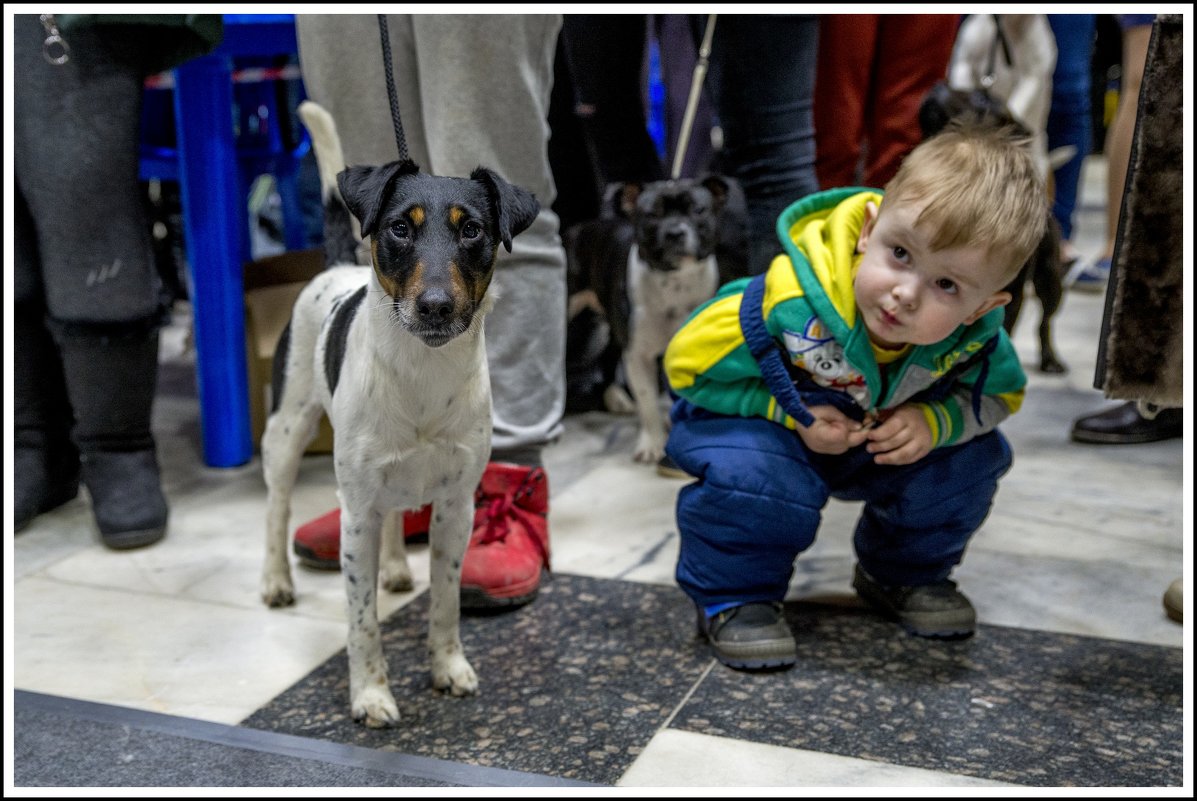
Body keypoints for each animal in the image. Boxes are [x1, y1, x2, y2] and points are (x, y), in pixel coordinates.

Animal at [264, 99, 541, 723]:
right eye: (399, 228)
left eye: (472, 230)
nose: (435, 306)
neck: (422, 372)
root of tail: (334, 266)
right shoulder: (355, 515)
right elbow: (361, 620)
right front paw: (370, 693)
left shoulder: (457, 506)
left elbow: (446, 599)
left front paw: (448, 666)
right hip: (287, 431)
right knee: (277, 505)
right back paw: (275, 579)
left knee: (391, 516)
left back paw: (392, 567)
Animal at [562, 174, 746, 462]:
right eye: (652, 215)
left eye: (698, 210)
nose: (675, 232)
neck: (675, 282)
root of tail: (581, 227)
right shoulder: (638, 355)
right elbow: (648, 401)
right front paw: (652, 444)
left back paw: (616, 398)